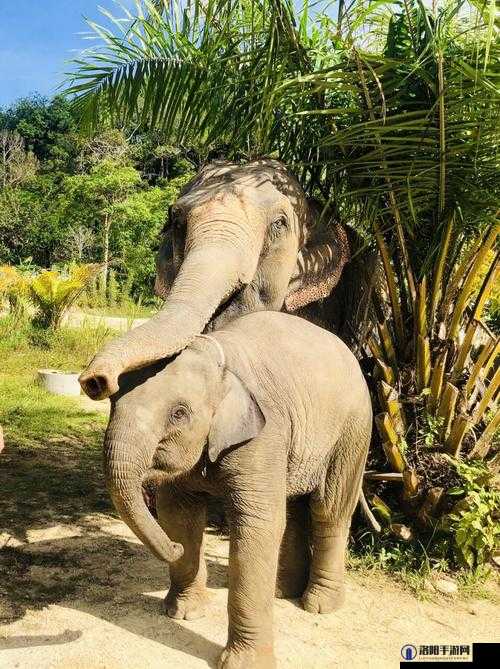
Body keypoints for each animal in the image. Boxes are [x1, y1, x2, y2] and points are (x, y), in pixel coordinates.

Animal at [103, 311, 372, 668]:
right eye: (113, 401)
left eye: (179, 414)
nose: (173, 548)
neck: (220, 361)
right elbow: (179, 515)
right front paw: (183, 614)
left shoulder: (265, 434)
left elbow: (257, 525)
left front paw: (243, 663)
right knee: (294, 507)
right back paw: (282, 592)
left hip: (354, 431)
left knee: (329, 509)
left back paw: (318, 605)